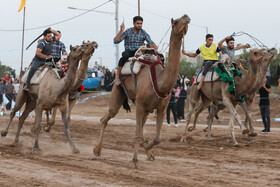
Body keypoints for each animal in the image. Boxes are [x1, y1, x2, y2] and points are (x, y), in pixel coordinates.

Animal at [93, 13, 190, 167]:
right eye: (175, 21)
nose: (186, 17)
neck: (161, 82)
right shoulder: (140, 104)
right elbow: (138, 134)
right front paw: (134, 161)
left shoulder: (162, 108)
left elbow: (157, 138)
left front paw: (147, 149)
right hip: (118, 92)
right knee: (106, 117)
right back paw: (97, 150)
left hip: (146, 109)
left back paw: (148, 153)